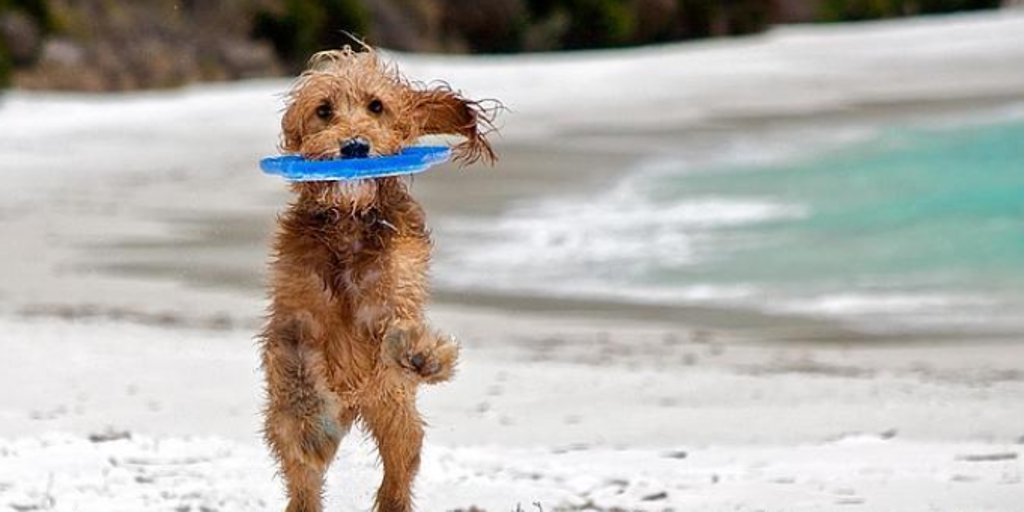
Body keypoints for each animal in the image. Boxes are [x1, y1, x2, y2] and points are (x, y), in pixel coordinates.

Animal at [260, 48, 499, 512]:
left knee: (400, 467)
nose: (355, 145)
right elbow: (297, 373)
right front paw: (311, 429)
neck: (348, 226)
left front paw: (424, 353)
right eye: (324, 110)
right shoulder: (294, 318)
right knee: (302, 478)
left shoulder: (392, 296)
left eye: (376, 106)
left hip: (394, 413)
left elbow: (398, 329)